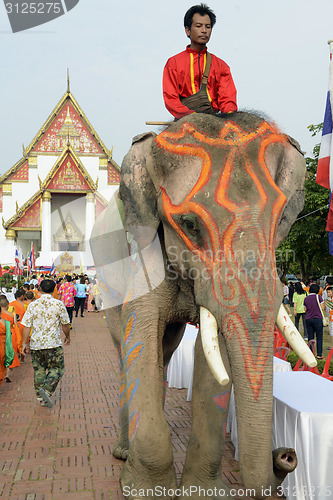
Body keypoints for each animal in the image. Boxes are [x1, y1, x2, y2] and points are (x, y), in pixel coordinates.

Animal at [89, 111, 312, 498]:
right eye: (189, 224)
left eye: (281, 219)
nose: (285, 455)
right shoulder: (144, 252)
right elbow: (140, 333)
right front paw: (144, 490)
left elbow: (212, 354)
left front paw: (203, 492)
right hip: (106, 279)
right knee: (123, 348)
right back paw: (123, 452)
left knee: (166, 349)